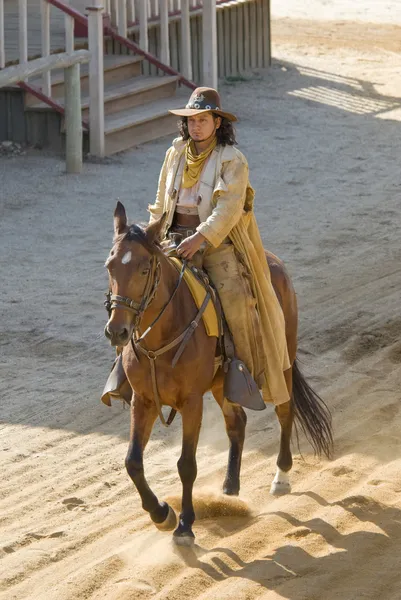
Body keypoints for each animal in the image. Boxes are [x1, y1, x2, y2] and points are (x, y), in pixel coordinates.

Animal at [103, 202, 332, 544]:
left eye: (144, 269)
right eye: (110, 267)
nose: (117, 331)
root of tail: (273, 262)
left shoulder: (192, 402)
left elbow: (186, 464)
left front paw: (185, 525)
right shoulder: (143, 400)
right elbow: (132, 461)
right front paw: (161, 514)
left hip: (283, 360)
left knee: (285, 410)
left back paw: (281, 476)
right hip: (222, 381)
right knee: (237, 422)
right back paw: (229, 487)